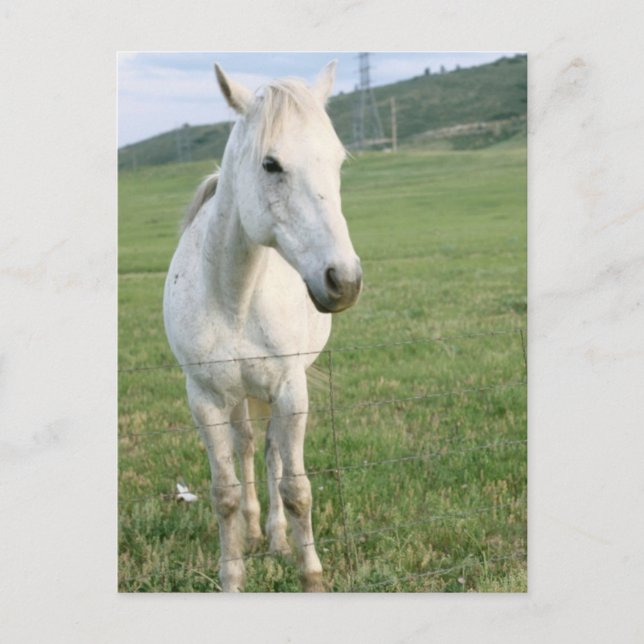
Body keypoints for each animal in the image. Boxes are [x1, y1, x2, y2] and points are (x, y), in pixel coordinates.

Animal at [163, 61, 362, 592]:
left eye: (338, 161)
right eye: (270, 164)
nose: (344, 280)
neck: (234, 297)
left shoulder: (291, 389)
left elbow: (296, 489)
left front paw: (311, 575)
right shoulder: (205, 398)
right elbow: (225, 492)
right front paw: (231, 577)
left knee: (271, 451)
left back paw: (275, 539)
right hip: (237, 395)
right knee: (248, 445)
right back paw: (254, 532)